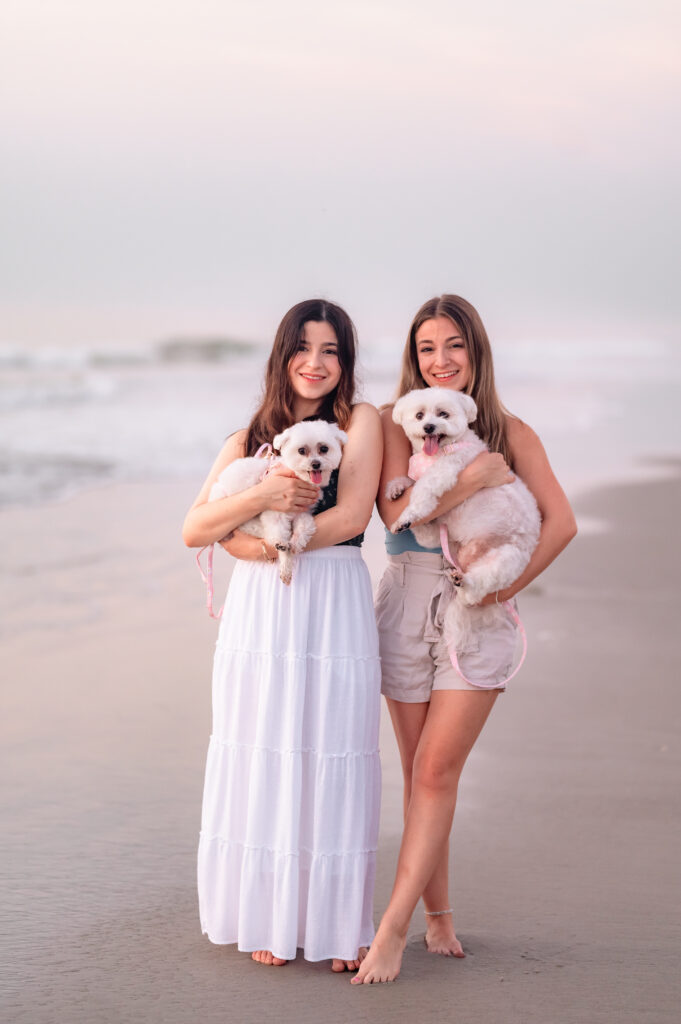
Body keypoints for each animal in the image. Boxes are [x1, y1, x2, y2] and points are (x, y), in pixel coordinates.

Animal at [208, 417, 348, 585]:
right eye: (301, 451)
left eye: (324, 449)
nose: (315, 464)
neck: (298, 477)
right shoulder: (275, 513)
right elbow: (280, 538)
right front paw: (285, 562)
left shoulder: (302, 512)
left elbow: (303, 527)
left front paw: (296, 542)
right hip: (223, 498)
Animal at [391, 387, 540, 602]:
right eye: (419, 415)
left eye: (443, 414)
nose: (428, 427)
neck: (438, 453)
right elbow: (412, 482)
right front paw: (397, 487)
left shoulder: (447, 468)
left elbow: (423, 487)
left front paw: (408, 514)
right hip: (448, 539)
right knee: (427, 536)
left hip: (508, 556)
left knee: (479, 585)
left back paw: (464, 582)